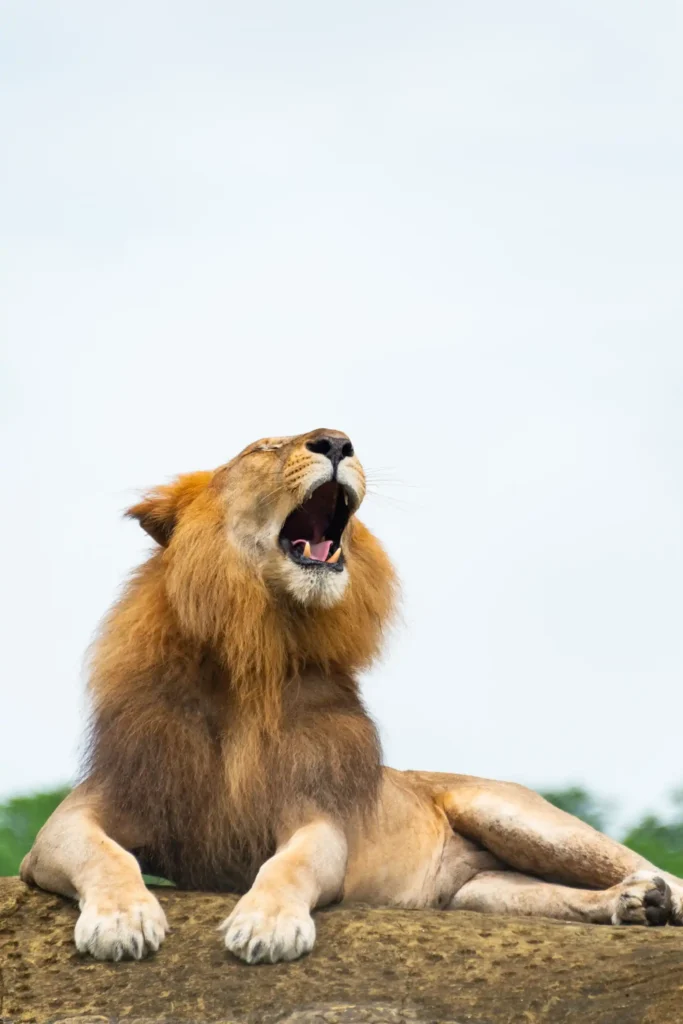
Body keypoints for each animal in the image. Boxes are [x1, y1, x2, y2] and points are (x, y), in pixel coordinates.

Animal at [21, 428, 683, 964]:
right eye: (262, 447)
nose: (337, 442)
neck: (252, 660)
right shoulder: (70, 822)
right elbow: (107, 855)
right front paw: (122, 920)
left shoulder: (319, 817)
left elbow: (290, 863)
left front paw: (266, 924)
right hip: (482, 893)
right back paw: (632, 905)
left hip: (514, 815)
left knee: (658, 868)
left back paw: (653, 897)